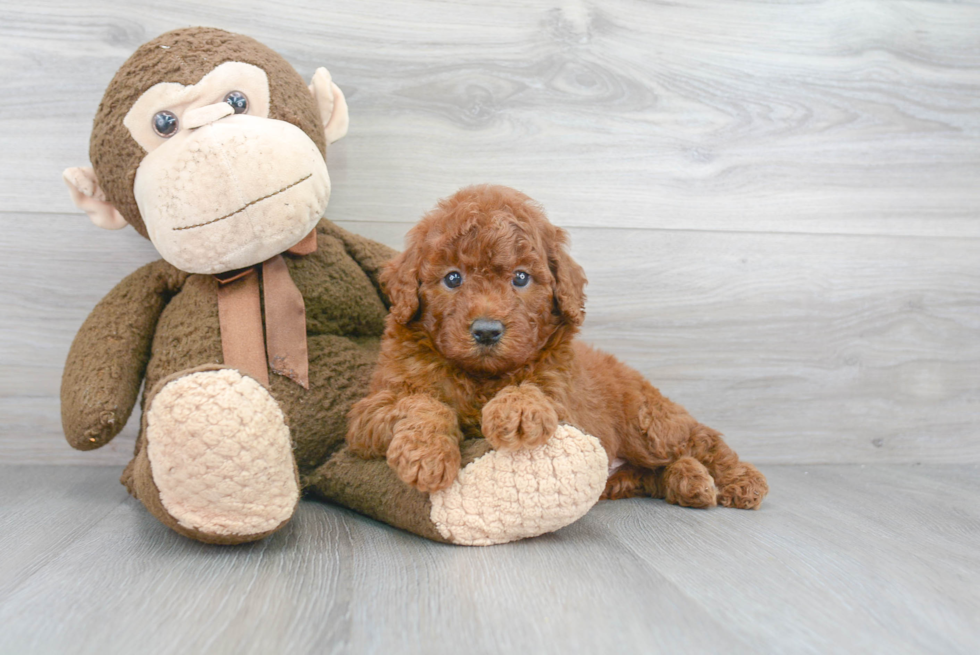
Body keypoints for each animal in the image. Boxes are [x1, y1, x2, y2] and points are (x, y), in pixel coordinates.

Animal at [348, 184, 768, 512]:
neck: (482, 376)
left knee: (701, 439)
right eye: (453, 278)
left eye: (521, 278)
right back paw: (691, 482)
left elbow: (537, 390)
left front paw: (517, 409)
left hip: (649, 423)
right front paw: (428, 457)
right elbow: (421, 402)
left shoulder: (569, 406)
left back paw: (741, 481)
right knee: (656, 471)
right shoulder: (370, 411)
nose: (487, 331)